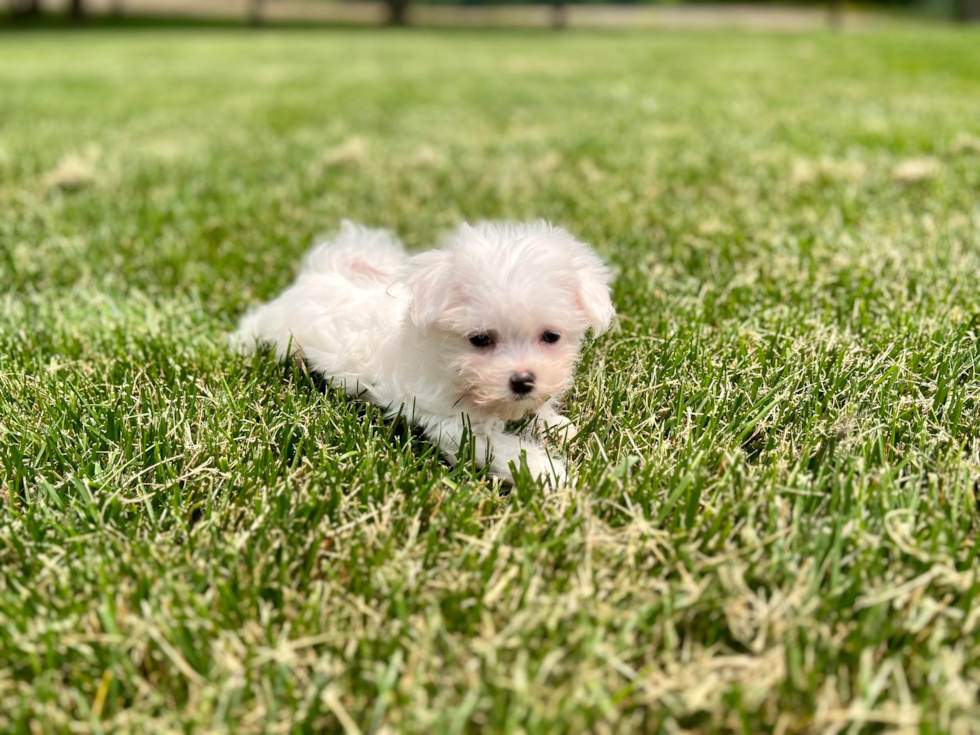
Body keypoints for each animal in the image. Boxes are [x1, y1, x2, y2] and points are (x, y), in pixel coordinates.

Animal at [232, 221, 612, 486]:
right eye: (479, 339)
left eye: (551, 336)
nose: (522, 381)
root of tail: (320, 272)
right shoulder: (457, 428)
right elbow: (507, 450)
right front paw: (548, 473)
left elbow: (537, 414)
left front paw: (559, 427)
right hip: (279, 328)